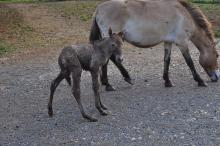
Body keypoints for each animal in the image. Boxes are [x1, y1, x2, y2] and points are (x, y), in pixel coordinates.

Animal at [90, 0, 220, 90]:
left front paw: (167, 81)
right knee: (110, 58)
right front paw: (200, 81)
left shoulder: (168, 42)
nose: (217, 78)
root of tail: (98, 8)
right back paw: (114, 83)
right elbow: (190, 62)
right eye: (217, 55)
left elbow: (167, 60)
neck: (183, 15)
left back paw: (108, 82)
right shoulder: (182, 43)